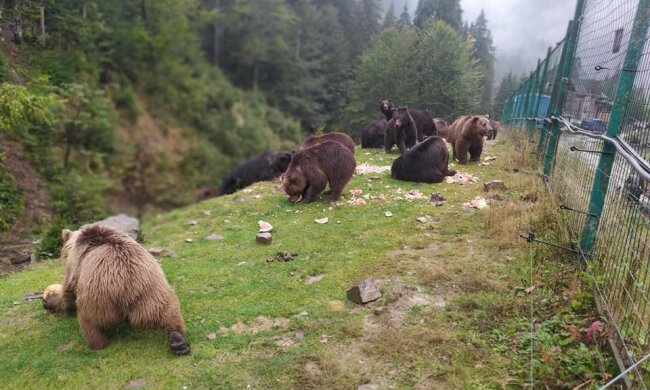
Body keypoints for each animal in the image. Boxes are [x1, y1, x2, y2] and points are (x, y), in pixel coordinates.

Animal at [41, 224, 190, 354]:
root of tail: (127, 287)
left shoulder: (75, 269)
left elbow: (68, 291)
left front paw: (53, 303)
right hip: (152, 291)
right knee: (169, 310)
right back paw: (179, 343)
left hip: (96, 299)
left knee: (88, 321)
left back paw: (97, 344)